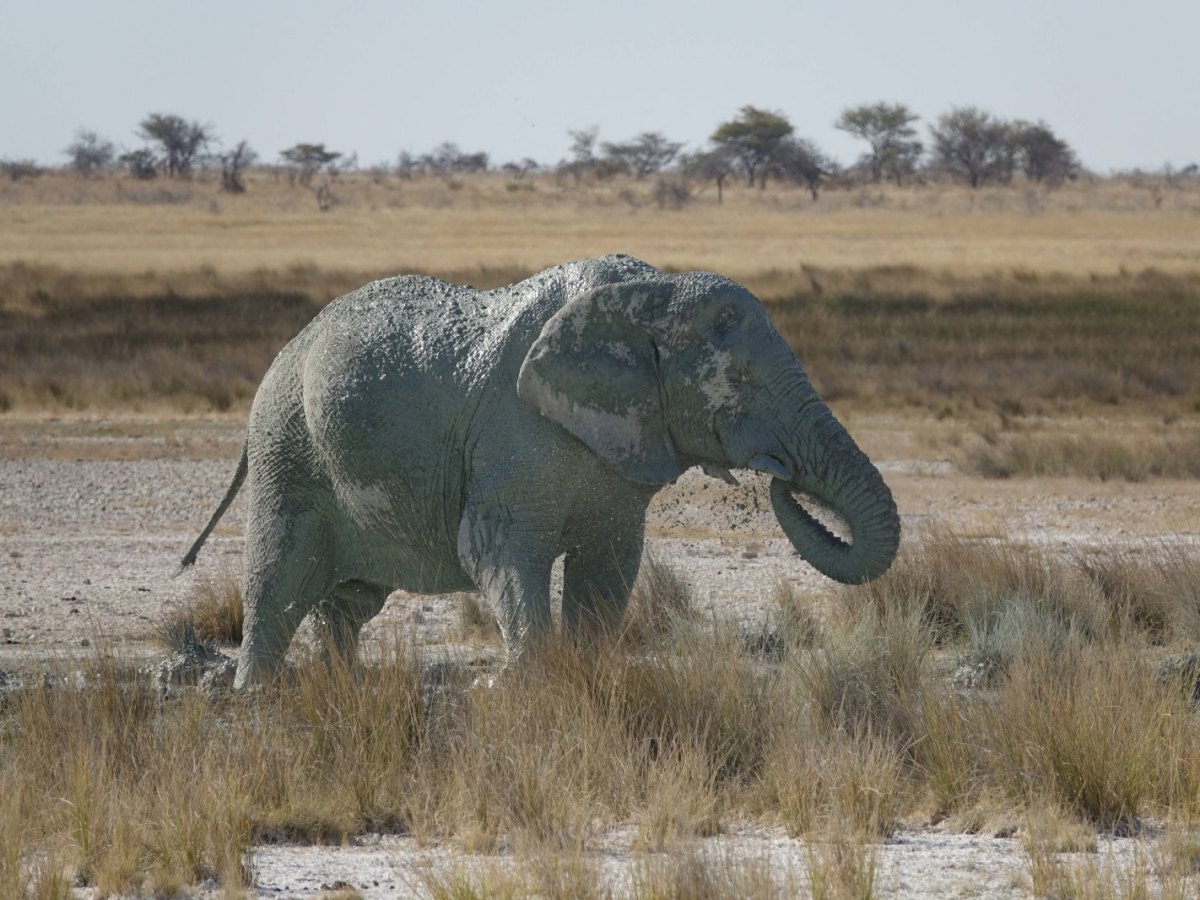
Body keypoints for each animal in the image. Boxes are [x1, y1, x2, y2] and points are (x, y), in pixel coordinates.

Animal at [180, 254, 902, 691]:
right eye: (742, 382)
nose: (781, 474)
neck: (649, 291)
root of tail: (284, 351)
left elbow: (608, 564)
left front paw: (586, 678)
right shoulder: (514, 430)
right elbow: (496, 547)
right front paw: (518, 686)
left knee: (350, 602)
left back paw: (343, 688)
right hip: (288, 447)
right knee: (280, 574)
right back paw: (254, 694)